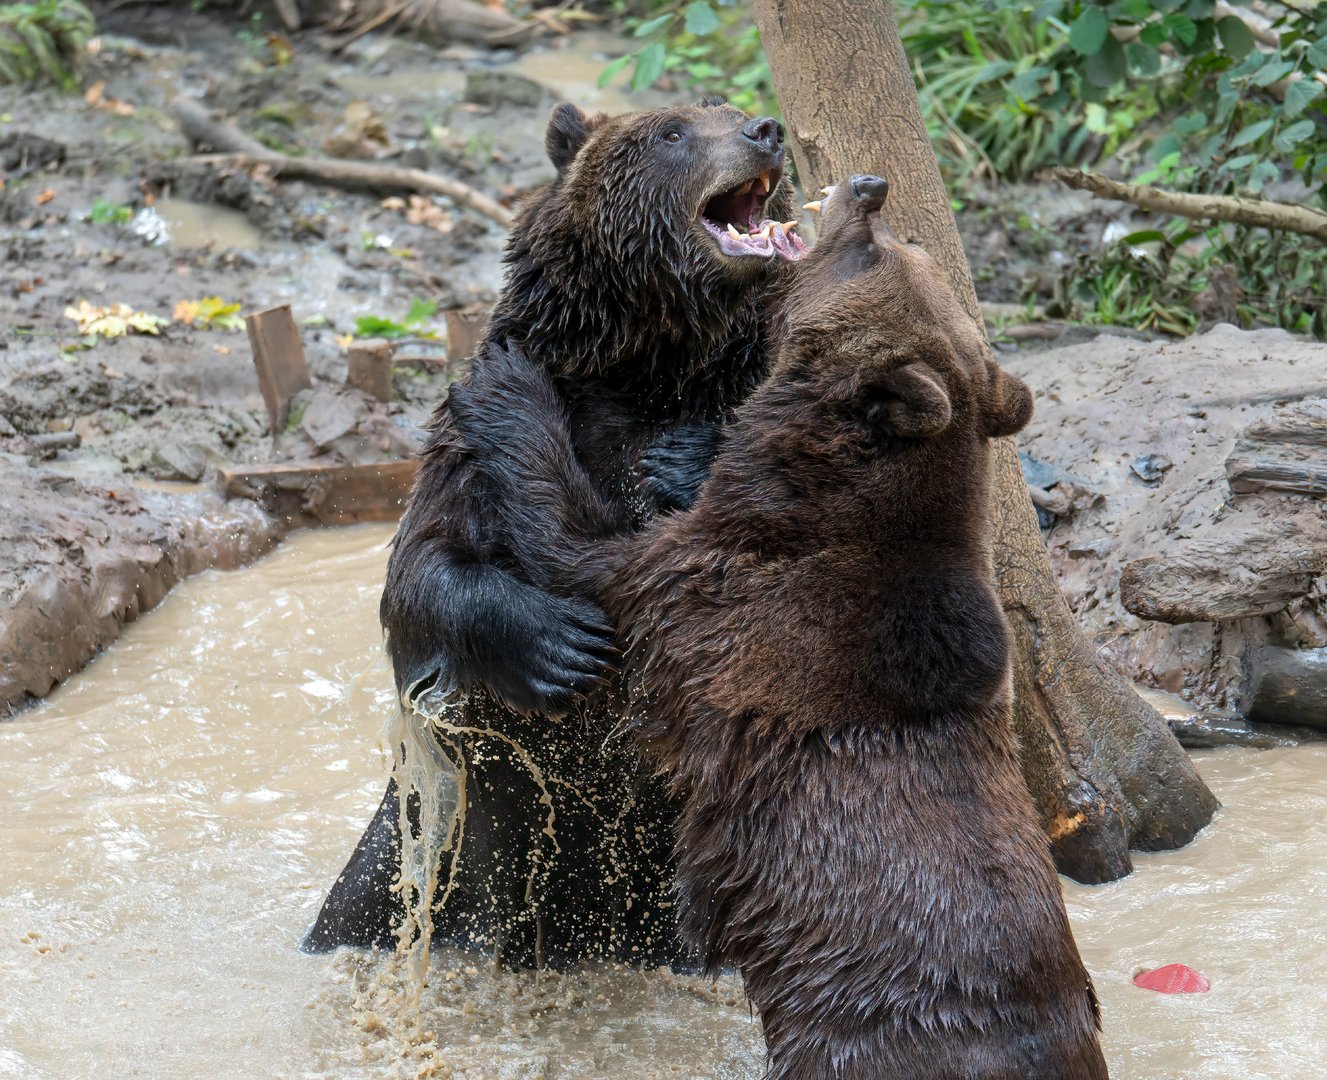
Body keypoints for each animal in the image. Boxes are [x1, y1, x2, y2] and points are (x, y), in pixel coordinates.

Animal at [302, 97, 806, 969]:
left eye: (728, 109)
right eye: (673, 131)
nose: (764, 131)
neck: (650, 361)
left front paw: (682, 463)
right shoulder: (470, 449)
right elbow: (421, 576)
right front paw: (555, 646)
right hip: (426, 849)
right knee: (374, 894)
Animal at [451, 175, 1109, 1078]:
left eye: (872, 251)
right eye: (909, 246)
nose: (868, 187)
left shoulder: (711, 589)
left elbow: (573, 539)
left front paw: (506, 382)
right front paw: (675, 457)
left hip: (855, 1033)